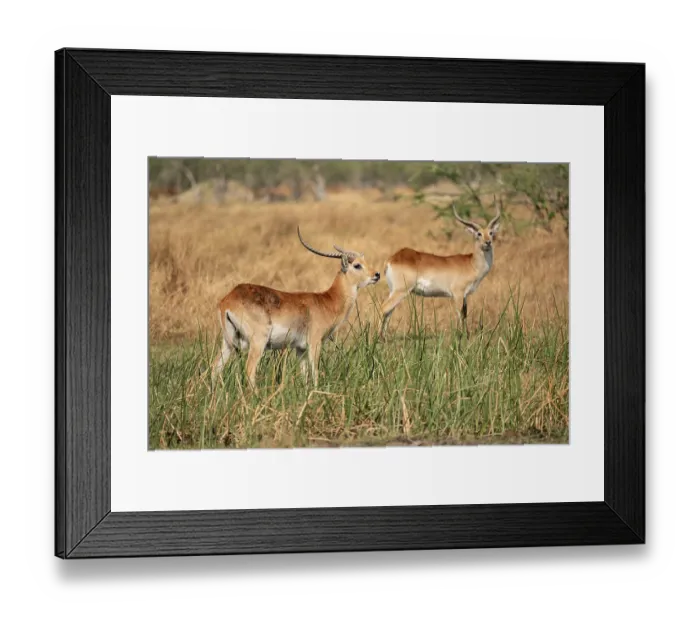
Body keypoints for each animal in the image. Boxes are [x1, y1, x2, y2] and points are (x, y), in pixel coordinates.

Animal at [212, 227, 380, 388]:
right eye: (357, 265)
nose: (377, 275)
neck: (327, 301)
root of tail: (227, 301)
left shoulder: (300, 349)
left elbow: (304, 375)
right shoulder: (314, 343)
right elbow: (315, 372)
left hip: (228, 343)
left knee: (215, 368)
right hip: (258, 342)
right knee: (249, 370)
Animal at [379, 200, 502, 339]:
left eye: (491, 232)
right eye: (478, 234)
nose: (488, 242)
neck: (471, 263)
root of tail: (393, 258)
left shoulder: (465, 296)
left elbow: (465, 314)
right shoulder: (457, 294)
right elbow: (460, 314)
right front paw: (460, 336)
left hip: (394, 290)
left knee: (388, 312)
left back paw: (384, 338)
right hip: (401, 291)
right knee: (384, 308)